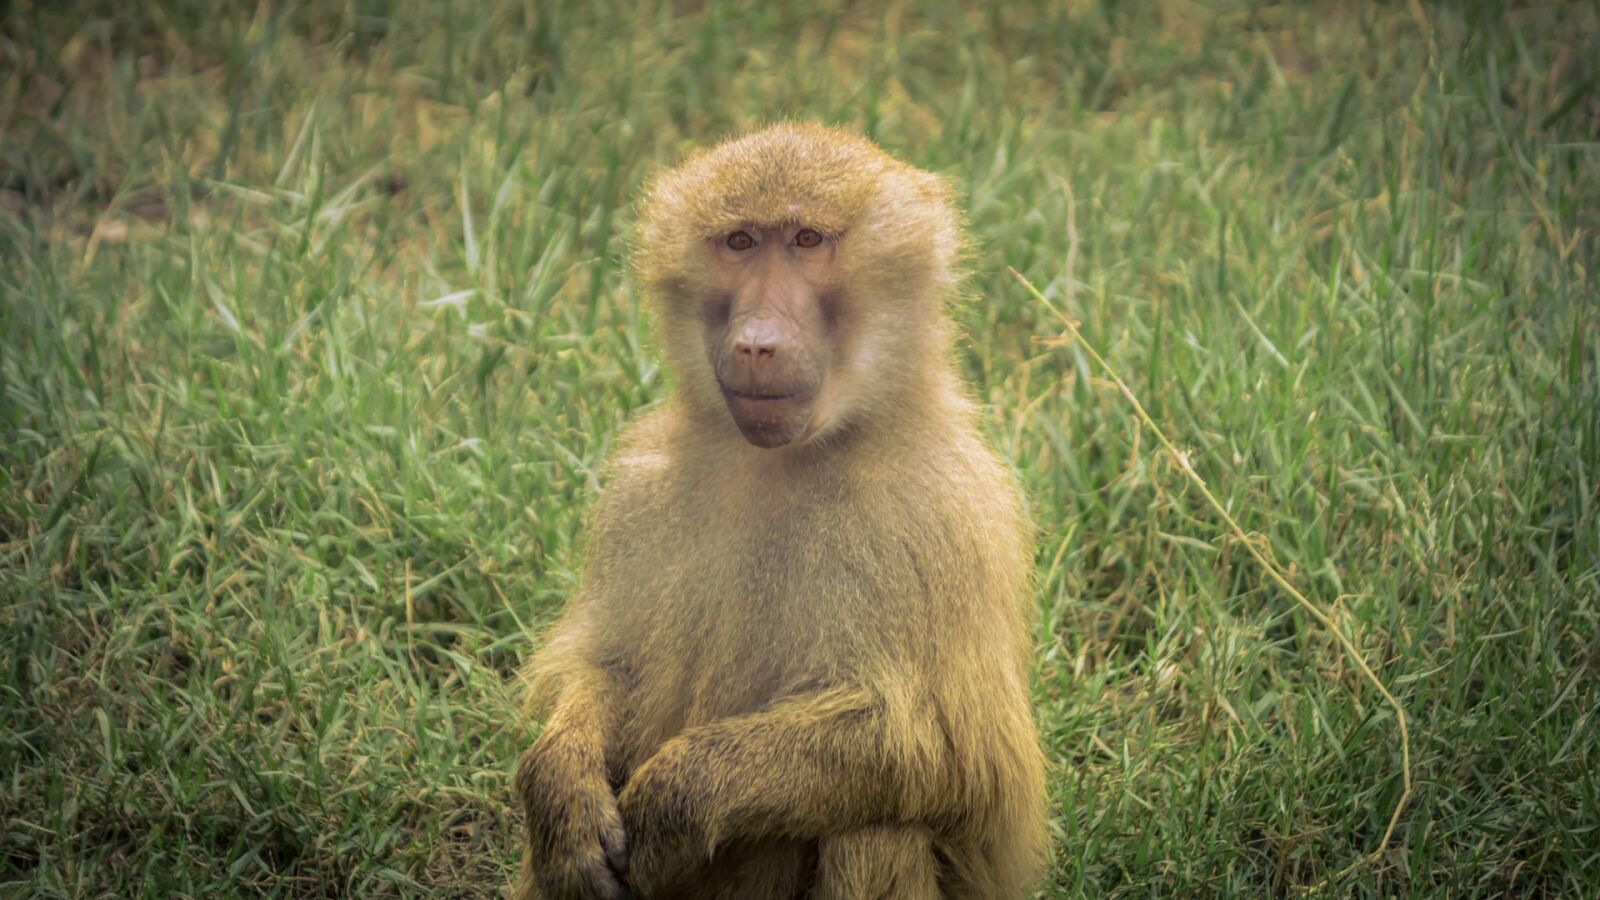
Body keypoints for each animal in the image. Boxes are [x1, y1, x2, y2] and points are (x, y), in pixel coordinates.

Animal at [513, 123, 1047, 900]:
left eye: (807, 239)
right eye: (739, 241)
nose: (757, 342)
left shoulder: (937, 511)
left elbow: (952, 755)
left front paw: (672, 804)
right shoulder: (638, 490)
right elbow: (608, 665)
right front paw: (562, 792)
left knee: (874, 829)